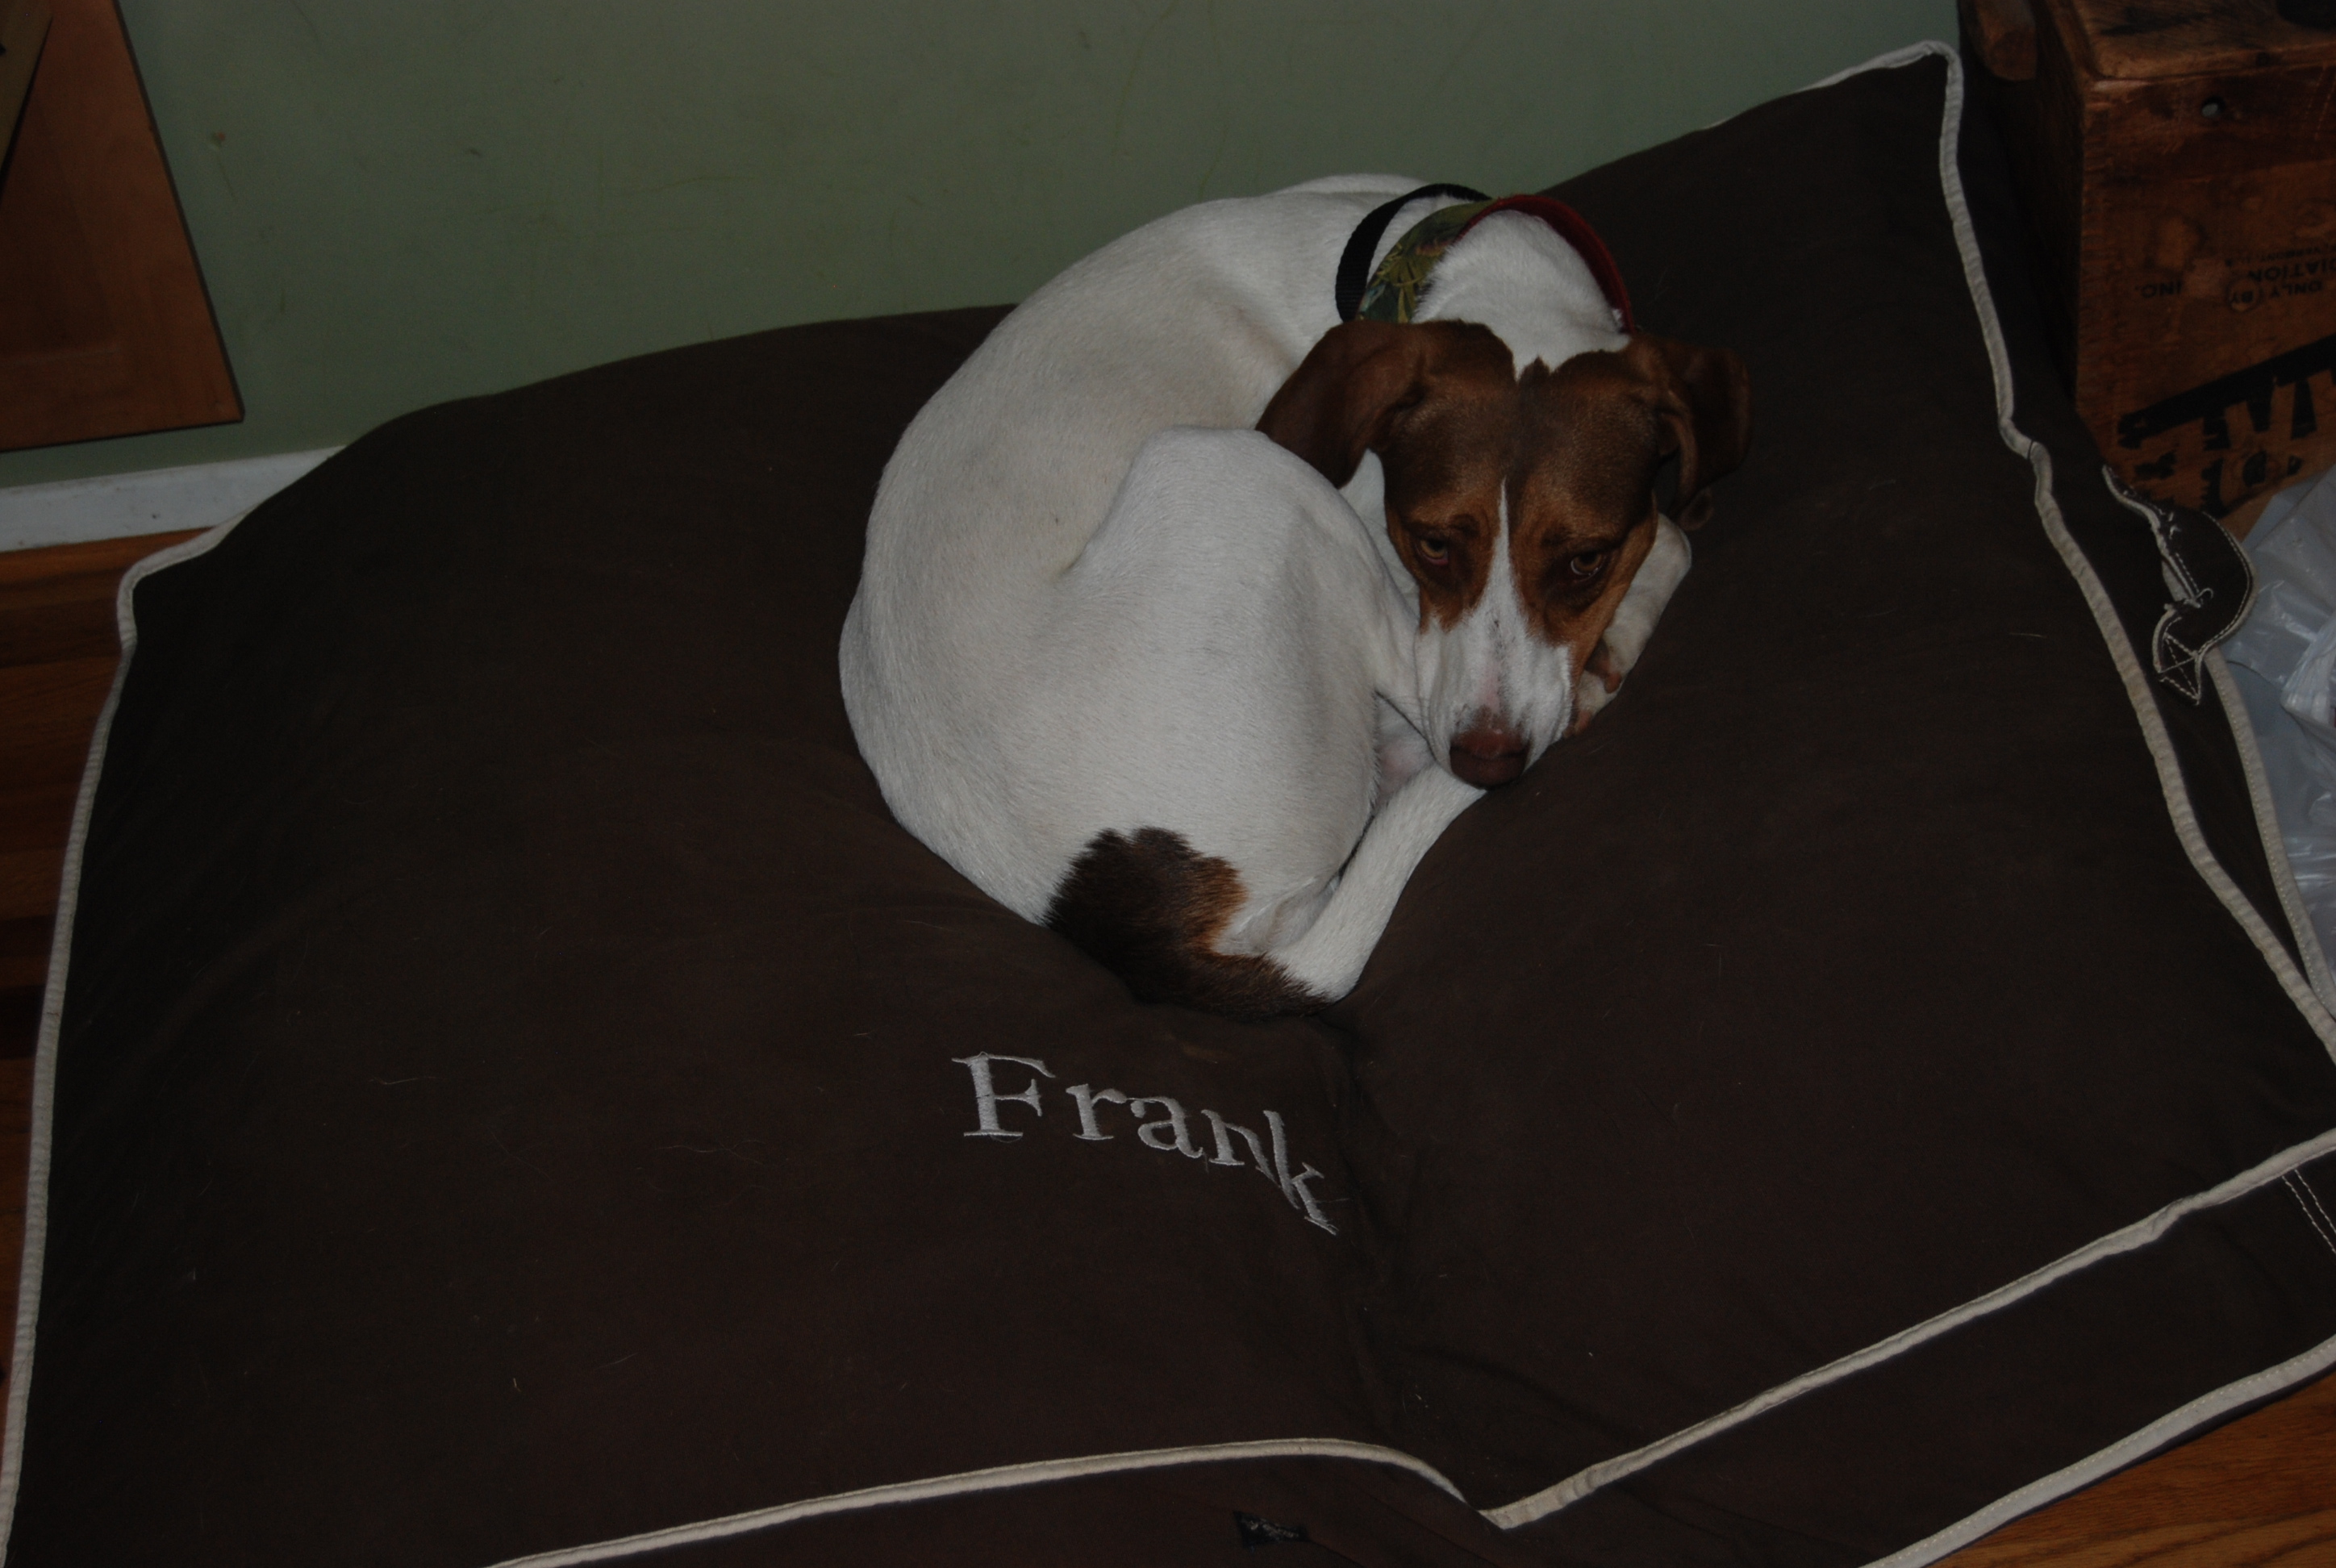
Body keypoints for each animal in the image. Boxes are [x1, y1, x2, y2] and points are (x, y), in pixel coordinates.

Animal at [840, 176, 1749, 1018]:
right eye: (1431, 542)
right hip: (1239, 470)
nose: (1486, 763)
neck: (1412, 261)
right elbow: (1671, 537)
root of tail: (1137, 926)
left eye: (1583, 560)